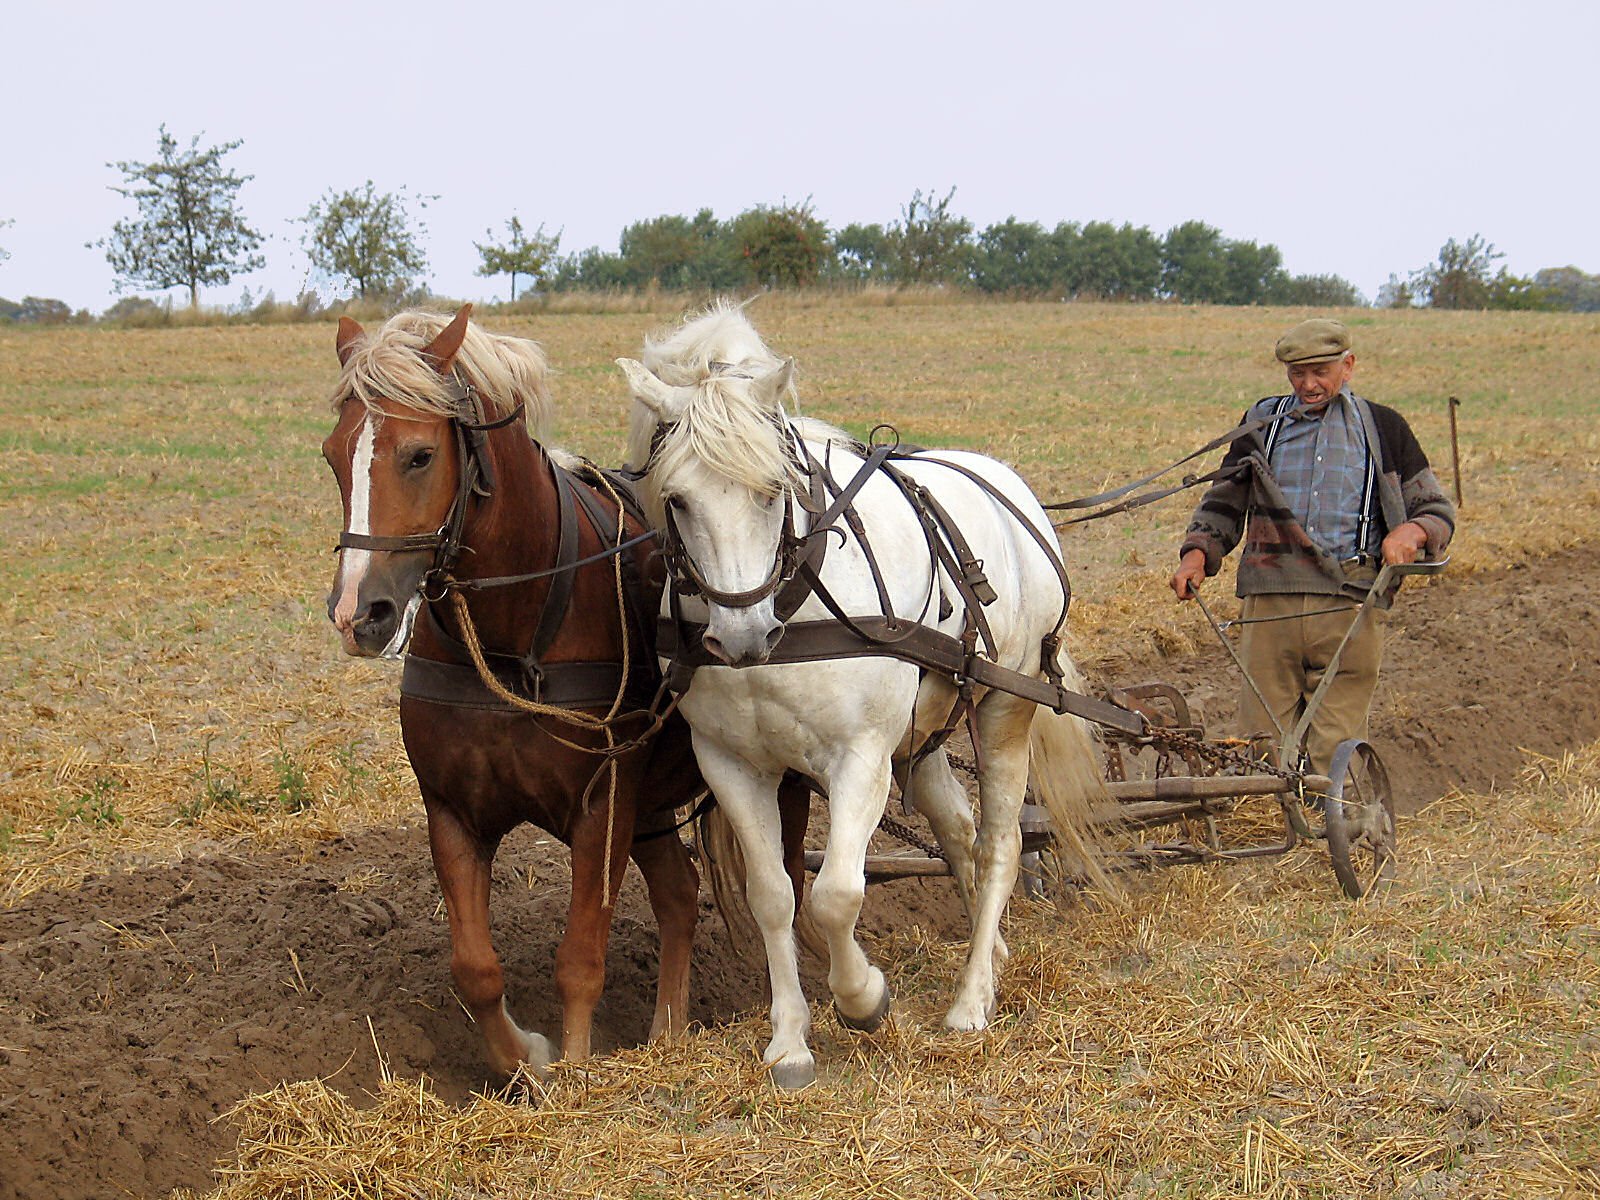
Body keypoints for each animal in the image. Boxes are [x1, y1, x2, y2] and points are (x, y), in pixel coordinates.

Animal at [323, 305, 784, 1076]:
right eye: (333, 455)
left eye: (418, 455)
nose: (359, 614)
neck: (513, 641)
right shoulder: (452, 811)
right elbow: (475, 969)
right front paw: (527, 1062)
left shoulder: (604, 806)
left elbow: (580, 959)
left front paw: (574, 1073)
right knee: (680, 896)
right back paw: (667, 1033)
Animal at [615, 302, 1112, 1089]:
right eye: (676, 499)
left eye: (772, 490)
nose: (743, 635)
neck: (793, 601)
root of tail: (1012, 489)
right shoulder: (730, 763)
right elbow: (774, 896)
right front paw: (790, 1041)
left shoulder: (860, 758)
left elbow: (836, 895)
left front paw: (864, 999)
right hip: (924, 737)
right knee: (959, 832)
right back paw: (992, 953)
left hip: (1006, 708)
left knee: (1000, 842)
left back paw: (971, 1000)